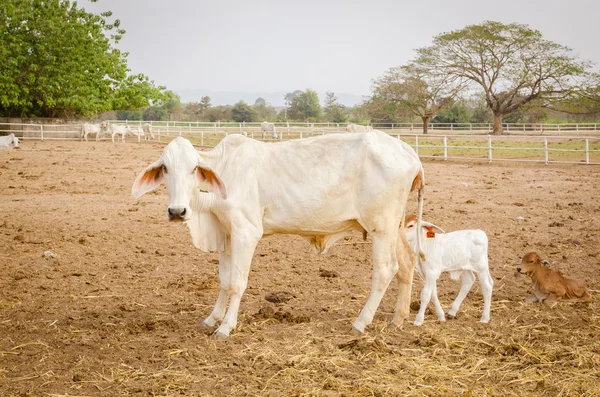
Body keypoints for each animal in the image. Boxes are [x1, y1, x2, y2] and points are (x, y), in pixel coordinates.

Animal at [132, 130, 424, 338]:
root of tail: (406, 150)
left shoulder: (246, 232)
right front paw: (211, 318)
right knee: (406, 264)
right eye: (165, 168)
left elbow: (237, 283)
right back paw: (398, 319)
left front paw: (225, 327)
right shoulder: (226, 234)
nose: (177, 211)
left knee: (386, 270)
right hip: (394, 226)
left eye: (194, 168)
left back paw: (360, 322)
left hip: (381, 227)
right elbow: (224, 281)